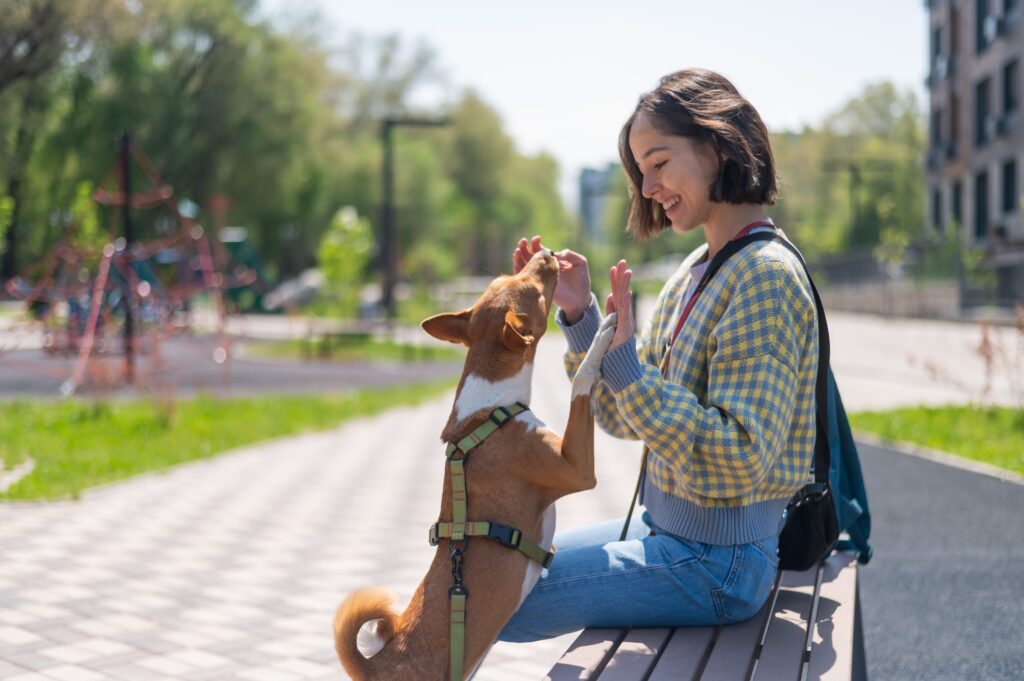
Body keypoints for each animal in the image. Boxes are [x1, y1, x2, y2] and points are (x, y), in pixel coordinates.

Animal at [333, 249, 614, 679]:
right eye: (534, 288)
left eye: (505, 276)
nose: (546, 252)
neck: (491, 410)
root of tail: (374, 665)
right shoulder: (576, 468)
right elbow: (582, 382)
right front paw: (602, 336)